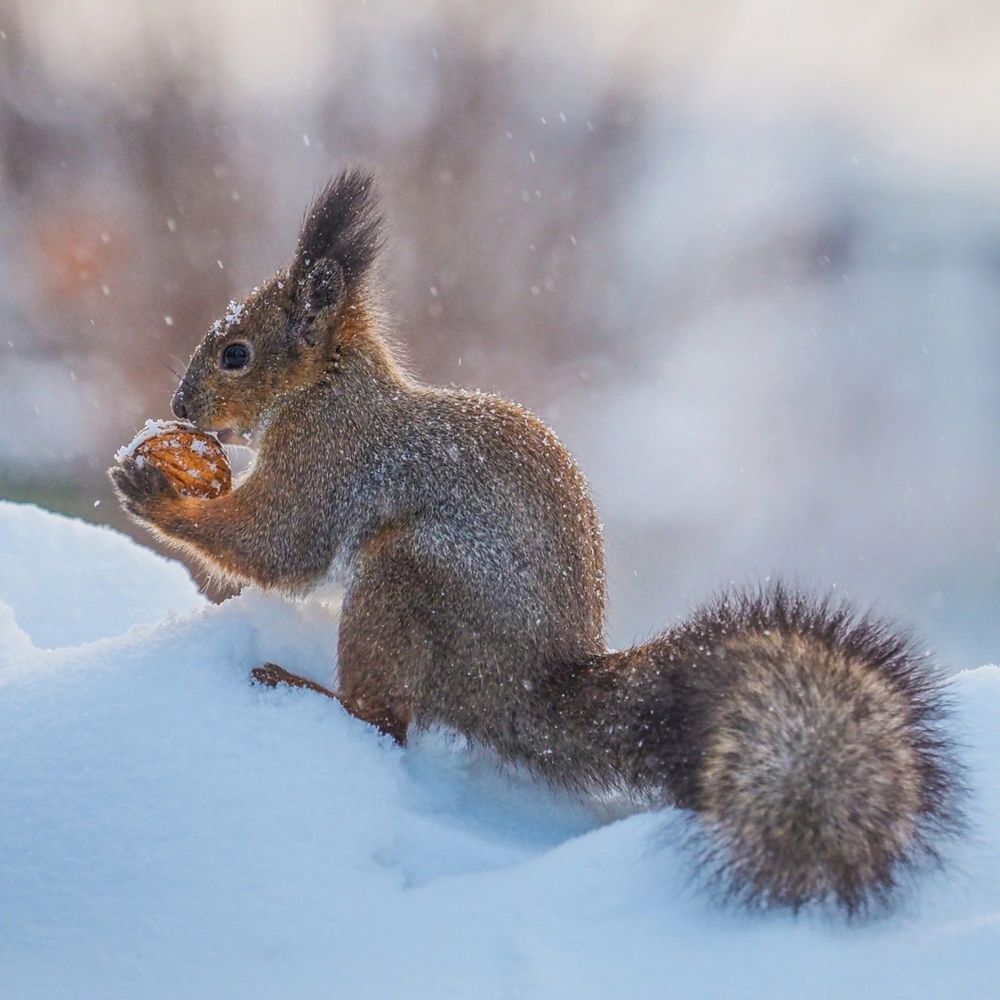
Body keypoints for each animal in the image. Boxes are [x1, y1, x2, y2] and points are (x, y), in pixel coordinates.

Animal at [113, 170, 964, 916]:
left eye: (236, 353)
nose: (180, 405)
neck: (327, 383)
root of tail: (526, 689)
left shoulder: (331, 457)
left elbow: (279, 543)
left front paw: (152, 489)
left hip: (406, 577)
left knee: (384, 722)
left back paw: (300, 687)